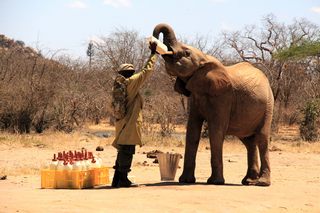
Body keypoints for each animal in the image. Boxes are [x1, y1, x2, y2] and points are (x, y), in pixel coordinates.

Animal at [154, 23, 274, 186]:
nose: (153, 44)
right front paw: (185, 180)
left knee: (262, 138)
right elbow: (192, 131)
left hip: (268, 105)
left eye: (186, 53)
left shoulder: (223, 97)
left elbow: (216, 131)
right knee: (248, 142)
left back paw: (261, 183)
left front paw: (215, 182)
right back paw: (248, 181)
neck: (205, 59)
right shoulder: (196, 96)